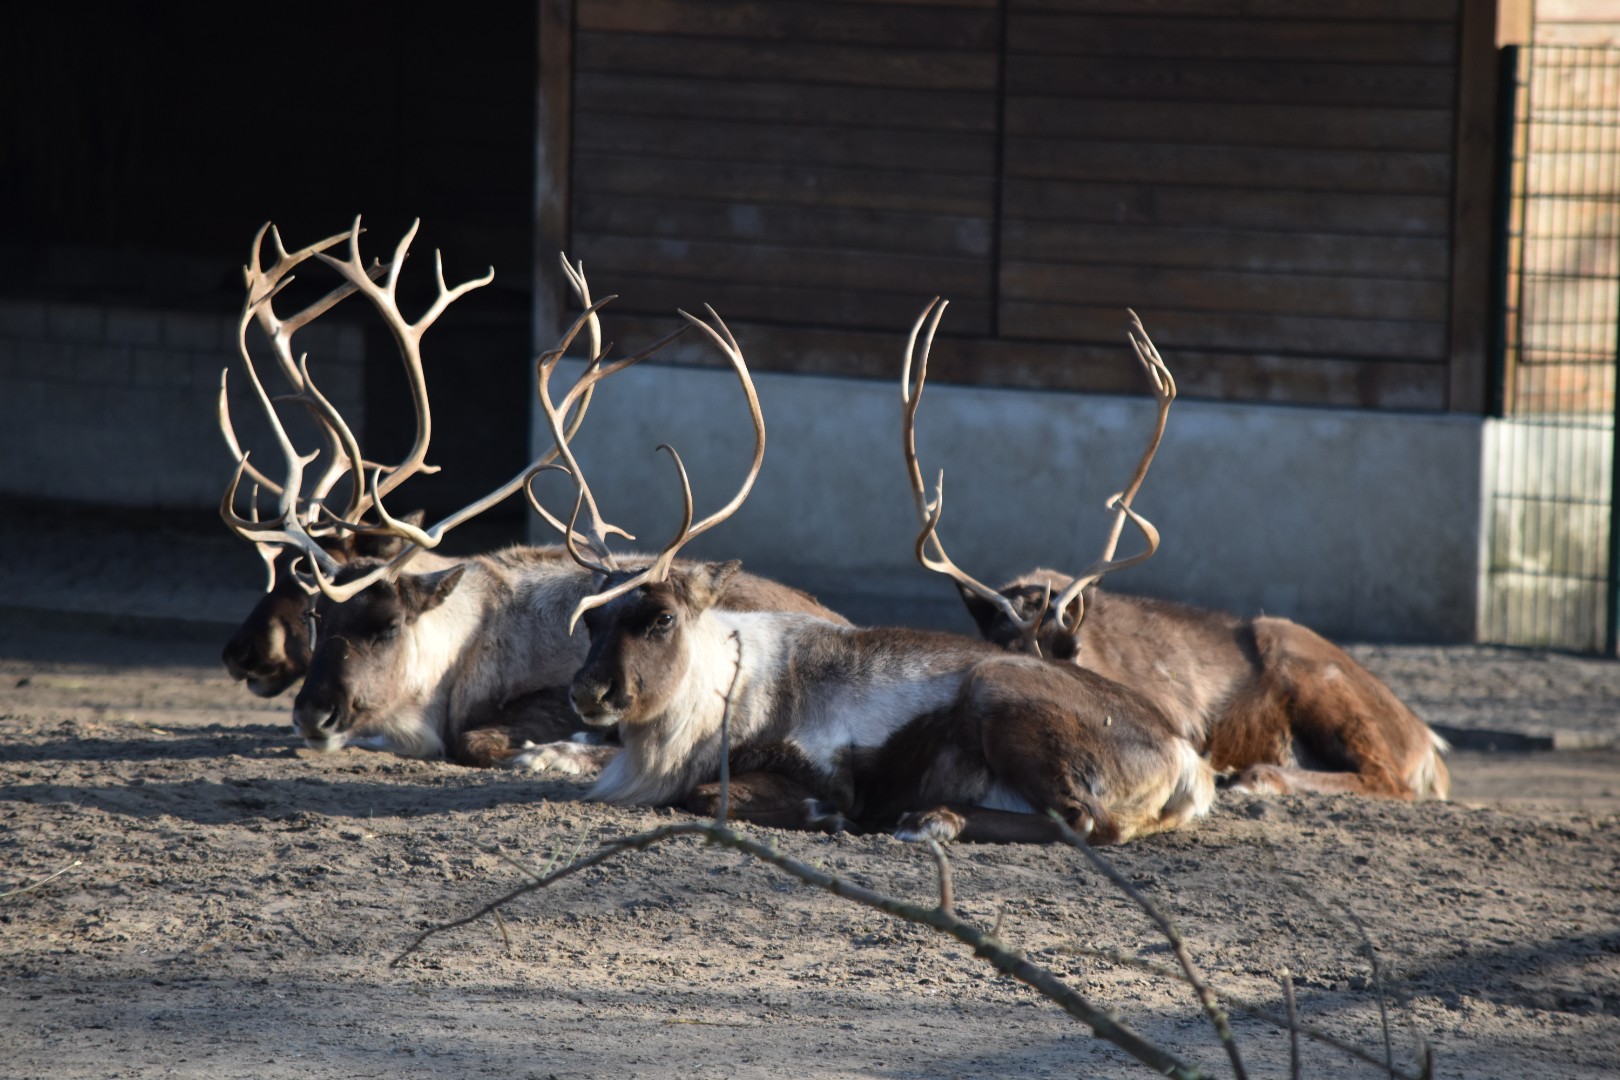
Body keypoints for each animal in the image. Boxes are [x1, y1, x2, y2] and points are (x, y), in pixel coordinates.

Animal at [219, 220, 845, 767]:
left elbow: (481, 740)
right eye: (318, 613)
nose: (312, 714)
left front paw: (551, 752)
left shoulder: (557, 691)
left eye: (387, 626)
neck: (461, 650)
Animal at [538, 305, 1214, 844]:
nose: (588, 693)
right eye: (591, 618)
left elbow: (714, 795)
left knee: (1083, 819)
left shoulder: (824, 765)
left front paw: (826, 815)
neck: (714, 693)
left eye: (662, 617)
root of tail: (1186, 758)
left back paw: (930, 818)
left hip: (1001, 693)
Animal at [900, 299, 1450, 802]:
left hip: (1315, 676)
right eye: (1003, 646)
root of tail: (1429, 742)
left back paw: (1255, 776)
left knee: (1390, 779)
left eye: (1073, 650)